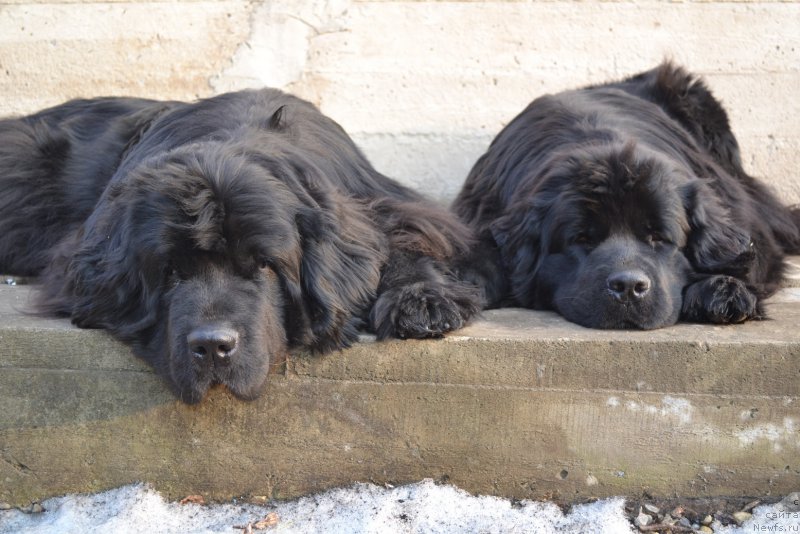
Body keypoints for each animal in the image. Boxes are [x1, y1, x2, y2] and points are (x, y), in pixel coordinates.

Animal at [1, 90, 482, 404]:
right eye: (170, 271)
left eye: (265, 265)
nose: (213, 346)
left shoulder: (384, 208)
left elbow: (402, 242)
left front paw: (421, 300)